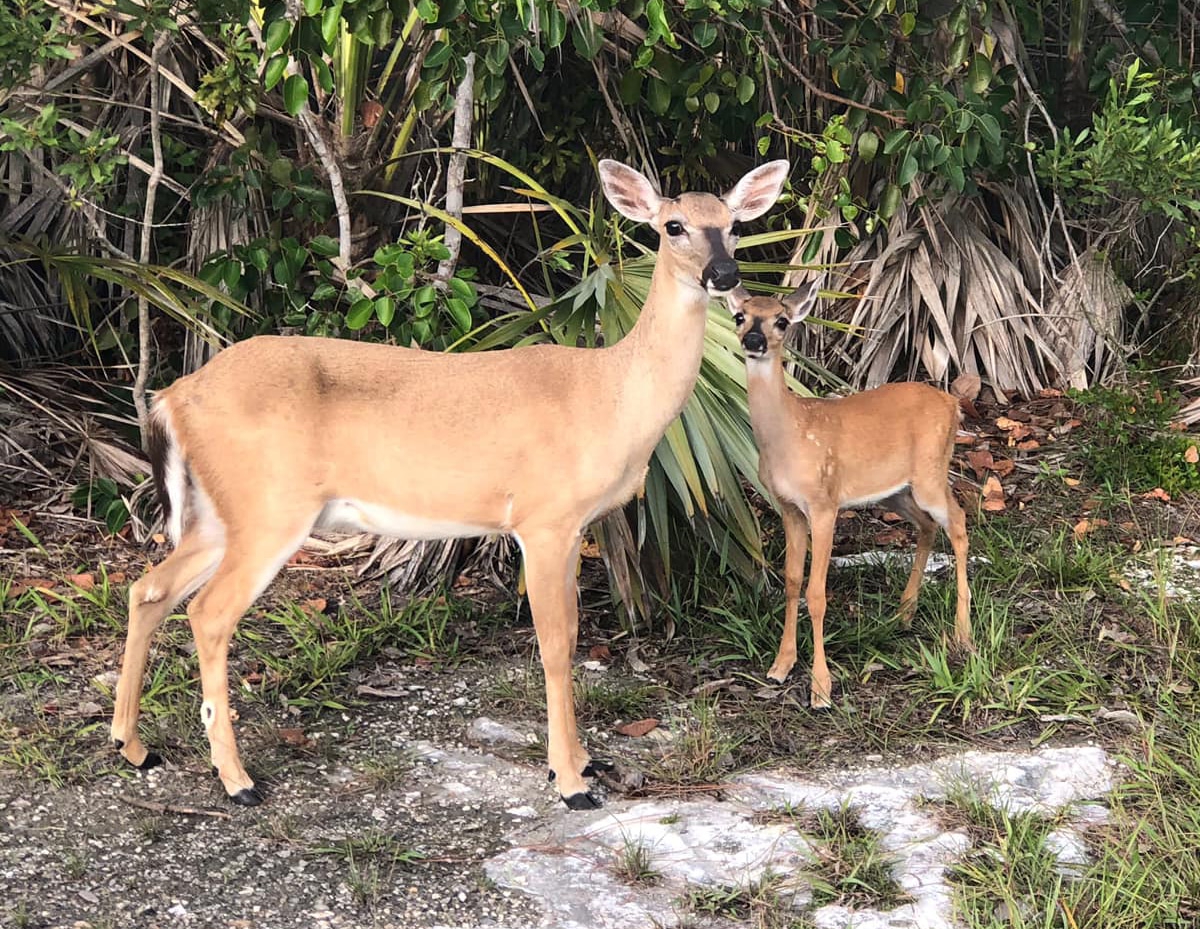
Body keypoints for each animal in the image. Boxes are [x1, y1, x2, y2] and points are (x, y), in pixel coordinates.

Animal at [110, 156, 787, 811]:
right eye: (673, 226)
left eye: (733, 223)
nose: (725, 273)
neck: (612, 395)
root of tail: (173, 397)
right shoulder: (542, 517)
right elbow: (556, 642)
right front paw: (571, 782)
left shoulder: (575, 527)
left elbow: (571, 633)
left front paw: (584, 760)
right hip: (270, 505)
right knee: (208, 611)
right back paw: (237, 781)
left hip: (219, 512)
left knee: (148, 589)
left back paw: (134, 747)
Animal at [720, 282, 974, 705]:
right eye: (741, 316)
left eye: (782, 321)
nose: (754, 340)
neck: (789, 436)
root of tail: (953, 403)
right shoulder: (788, 507)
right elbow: (792, 581)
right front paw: (780, 666)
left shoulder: (824, 503)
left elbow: (816, 594)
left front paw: (821, 687)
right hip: (893, 491)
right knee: (926, 526)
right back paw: (904, 613)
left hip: (930, 472)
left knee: (958, 521)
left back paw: (962, 634)